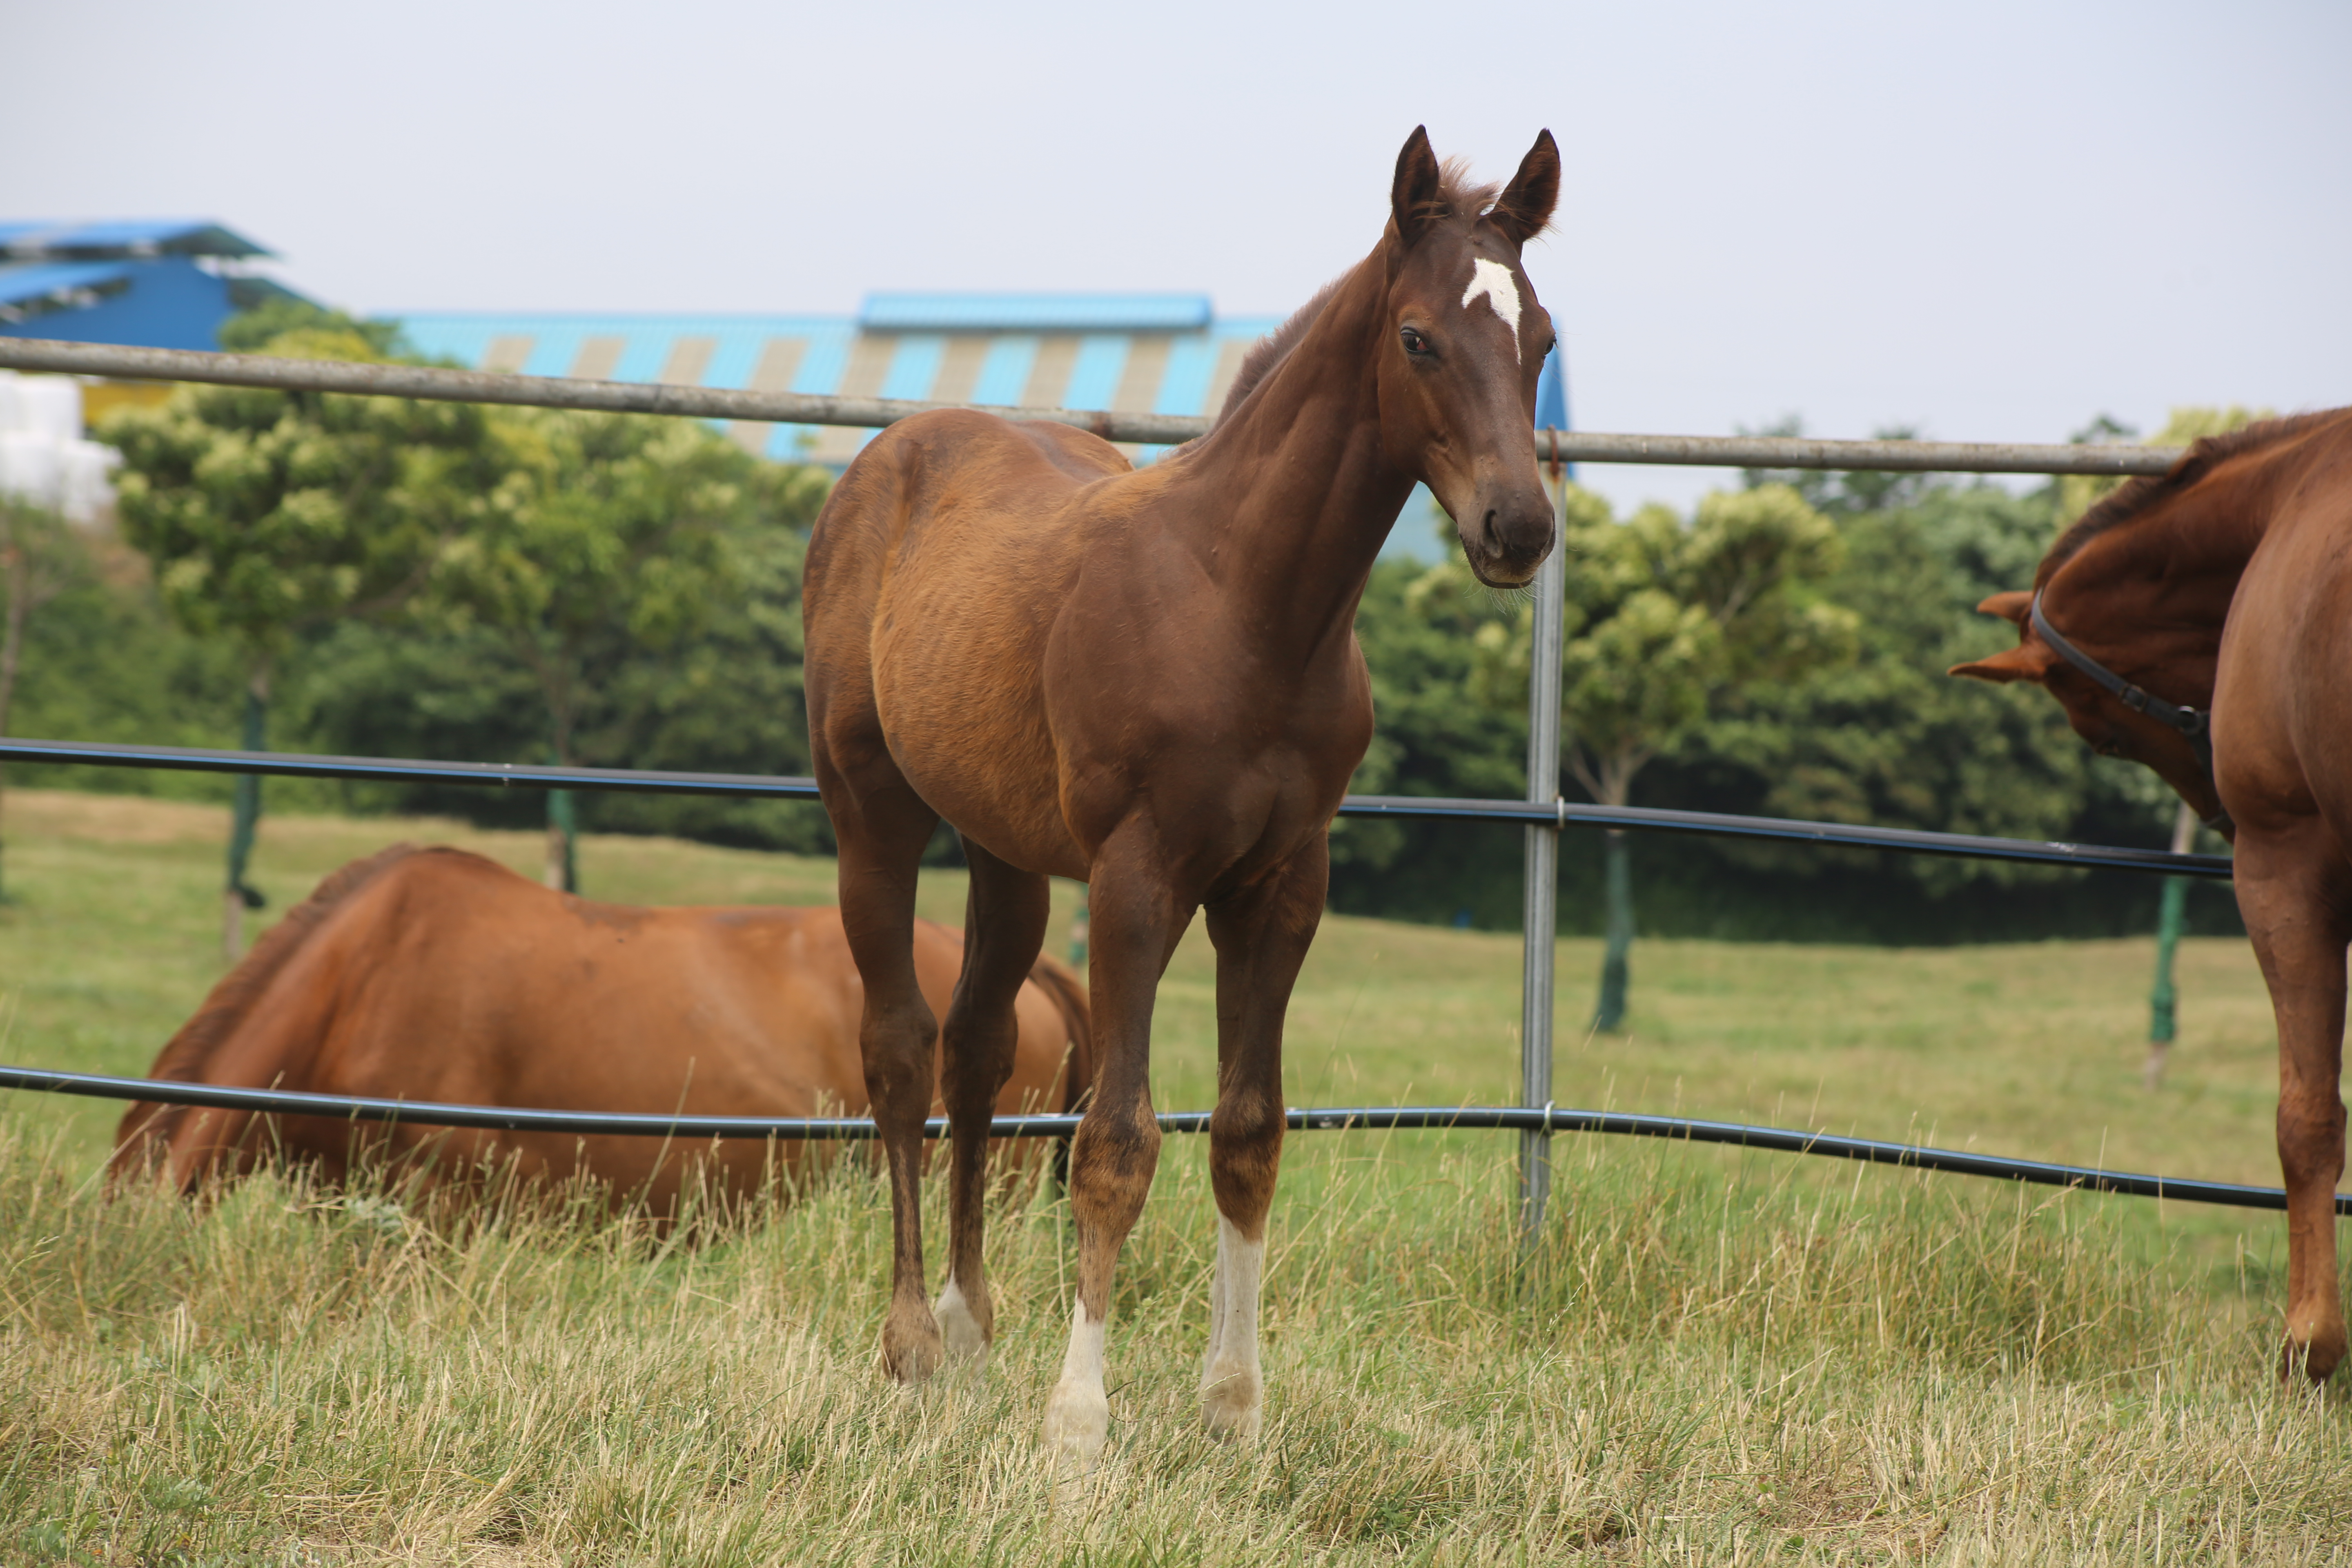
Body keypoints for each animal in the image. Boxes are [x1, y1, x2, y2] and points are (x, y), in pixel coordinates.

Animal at [804, 129, 1561, 1467]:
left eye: (1546, 339)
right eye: (1418, 337)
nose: (1516, 527)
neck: (1241, 606)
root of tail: (888, 456)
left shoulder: (1282, 883)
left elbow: (1249, 1131)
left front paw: (1234, 1405)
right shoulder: (1138, 878)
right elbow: (1116, 1138)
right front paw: (1078, 1423)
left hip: (1006, 849)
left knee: (975, 1046)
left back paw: (967, 1329)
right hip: (870, 814)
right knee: (897, 1048)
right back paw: (906, 1347)